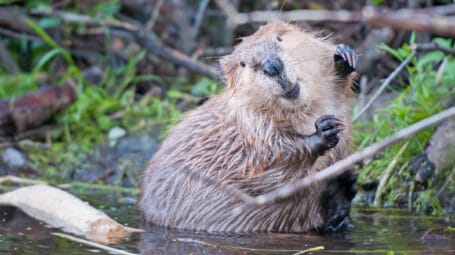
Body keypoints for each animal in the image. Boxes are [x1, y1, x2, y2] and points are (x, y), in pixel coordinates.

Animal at [141, 21, 358, 233]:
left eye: (279, 38)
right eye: (243, 64)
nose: (272, 66)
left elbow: (337, 88)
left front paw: (344, 57)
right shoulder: (251, 127)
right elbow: (271, 166)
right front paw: (324, 130)